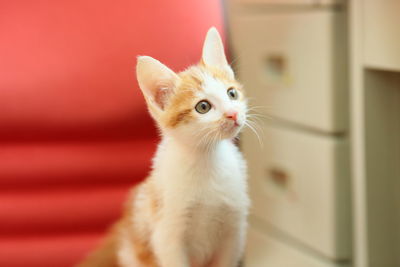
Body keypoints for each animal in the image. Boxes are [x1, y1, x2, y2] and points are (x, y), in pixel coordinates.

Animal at [76, 27, 248, 267]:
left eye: (232, 93)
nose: (233, 114)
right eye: (203, 107)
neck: (206, 159)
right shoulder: (167, 235)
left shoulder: (233, 232)